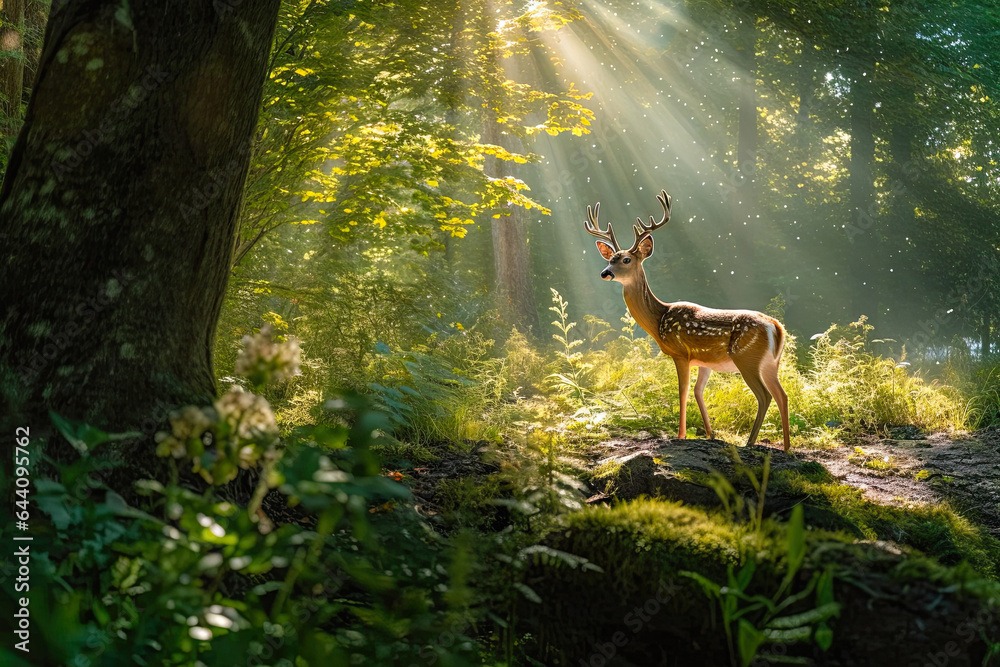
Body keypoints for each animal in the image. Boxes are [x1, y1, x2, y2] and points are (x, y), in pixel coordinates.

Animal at [585, 189, 791, 452]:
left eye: (626, 260)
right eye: (610, 258)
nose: (605, 273)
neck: (659, 319)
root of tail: (776, 327)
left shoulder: (681, 353)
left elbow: (682, 391)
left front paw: (681, 435)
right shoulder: (704, 361)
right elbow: (697, 391)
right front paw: (711, 434)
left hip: (746, 357)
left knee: (765, 396)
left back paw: (749, 442)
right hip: (771, 363)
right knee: (782, 394)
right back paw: (786, 447)